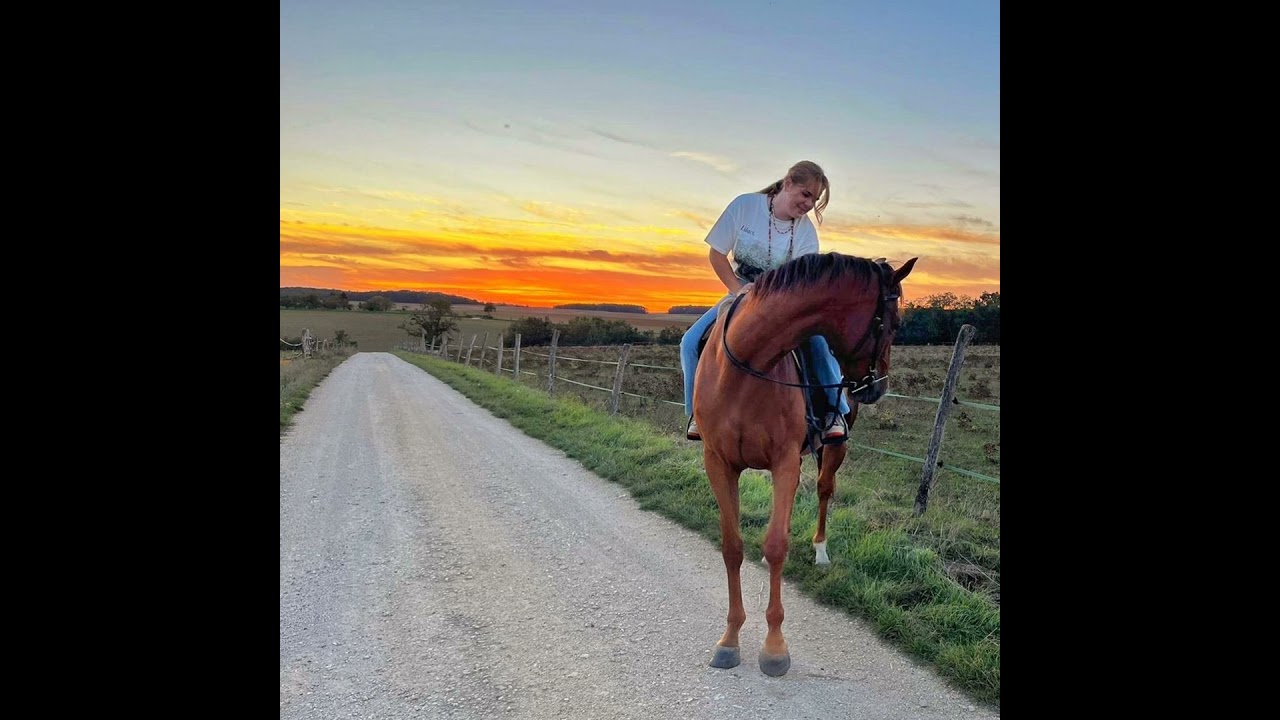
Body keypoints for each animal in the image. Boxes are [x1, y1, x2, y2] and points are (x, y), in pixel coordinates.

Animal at [692, 252, 917, 677]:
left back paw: (820, 550)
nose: (878, 387)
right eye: (894, 323)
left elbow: (777, 545)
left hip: (833, 449)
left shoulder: (784, 463)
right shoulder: (719, 463)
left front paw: (774, 648)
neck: (748, 365)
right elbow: (732, 546)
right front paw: (729, 640)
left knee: (825, 491)